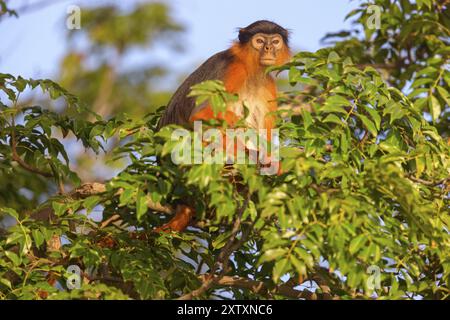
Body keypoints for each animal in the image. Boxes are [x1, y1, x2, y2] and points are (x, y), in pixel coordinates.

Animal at [156, 20, 292, 232]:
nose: (269, 48)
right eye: (260, 41)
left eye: (275, 41)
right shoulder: (231, 69)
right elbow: (200, 118)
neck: (252, 73)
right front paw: (258, 157)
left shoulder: (269, 84)